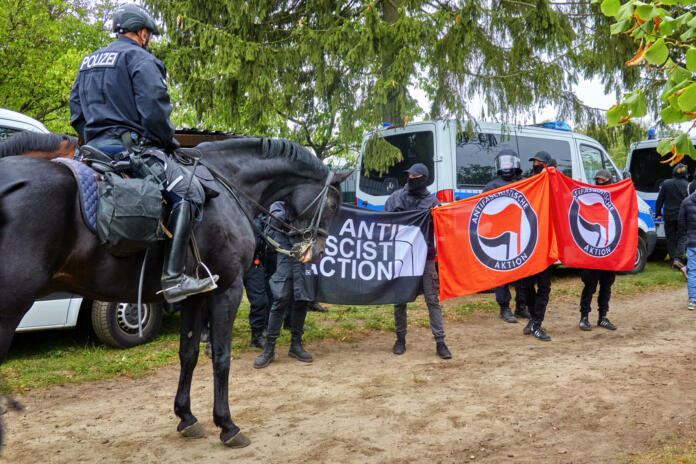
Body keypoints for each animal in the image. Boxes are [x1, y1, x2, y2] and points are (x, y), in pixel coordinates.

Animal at [0, 135, 348, 450]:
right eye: (333, 204)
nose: (317, 251)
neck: (230, 184)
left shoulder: (194, 296)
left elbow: (188, 353)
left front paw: (186, 416)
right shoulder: (227, 290)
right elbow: (221, 357)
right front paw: (227, 425)